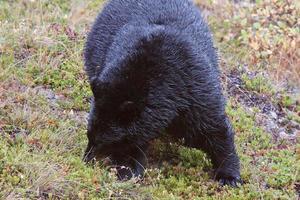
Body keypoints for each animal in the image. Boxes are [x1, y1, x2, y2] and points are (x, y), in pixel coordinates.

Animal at [84, 0, 241, 186]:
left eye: (105, 141)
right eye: (89, 135)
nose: (85, 159)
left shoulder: (193, 88)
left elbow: (212, 128)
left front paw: (229, 176)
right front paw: (128, 169)